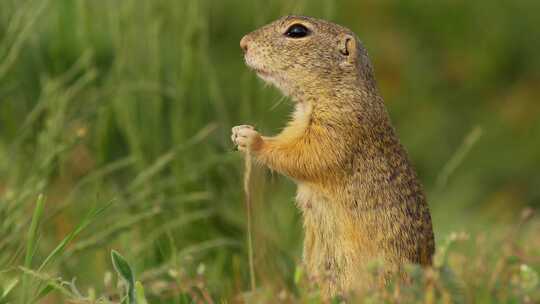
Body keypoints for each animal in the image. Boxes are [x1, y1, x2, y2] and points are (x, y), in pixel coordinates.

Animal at [231, 14, 434, 296]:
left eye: (297, 31)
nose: (243, 43)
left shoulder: (337, 129)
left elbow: (304, 155)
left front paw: (252, 139)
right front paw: (237, 131)